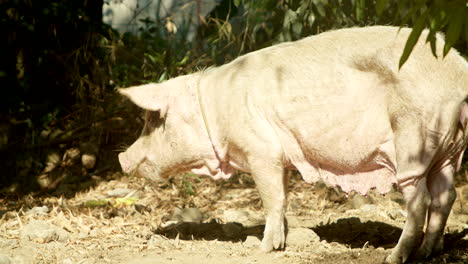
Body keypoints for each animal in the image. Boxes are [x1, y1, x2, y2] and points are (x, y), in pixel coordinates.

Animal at [119, 26, 468, 264]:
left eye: (154, 120)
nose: (122, 158)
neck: (214, 109)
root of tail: (459, 74)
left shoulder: (261, 150)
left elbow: (271, 199)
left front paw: (263, 248)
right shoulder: (280, 157)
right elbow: (283, 197)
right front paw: (281, 242)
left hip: (414, 136)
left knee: (420, 199)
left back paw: (394, 257)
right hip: (449, 150)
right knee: (445, 195)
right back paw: (428, 252)